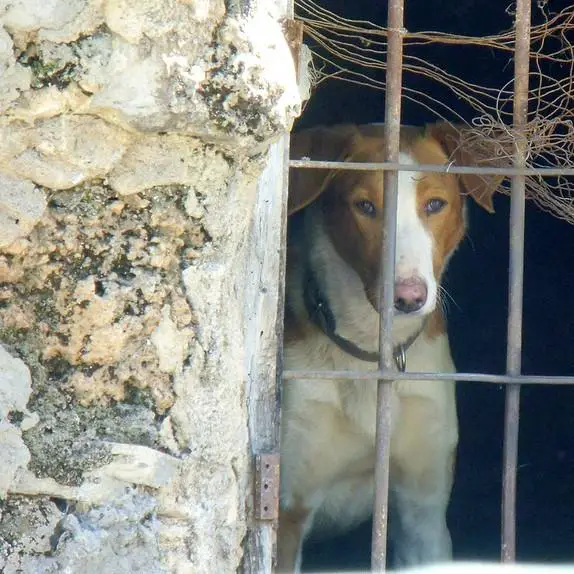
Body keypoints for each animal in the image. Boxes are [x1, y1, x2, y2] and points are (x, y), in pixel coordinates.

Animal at [278, 121, 500, 572]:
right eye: (365, 206)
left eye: (435, 204)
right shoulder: (288, 515)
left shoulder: (423, 511)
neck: (366, 349)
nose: (409, 298)